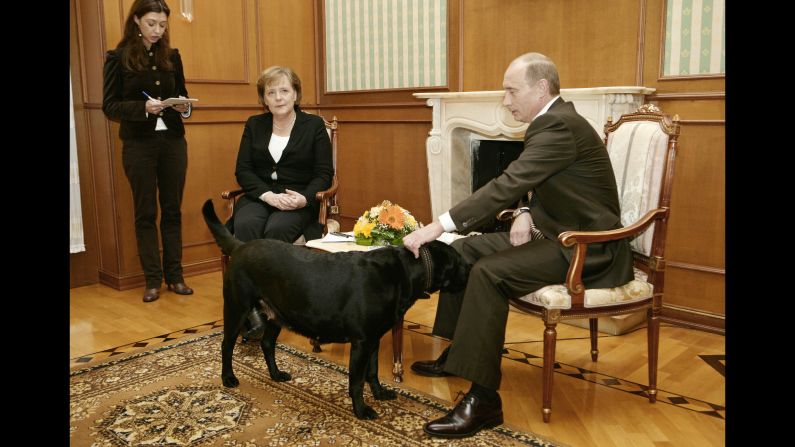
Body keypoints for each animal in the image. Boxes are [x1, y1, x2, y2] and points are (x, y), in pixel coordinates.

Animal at [202, 200, 470, 420]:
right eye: (459, 262)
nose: (470, 269)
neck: (403, 272)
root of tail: (240, 246)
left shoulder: (373, 339)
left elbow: (373, 372)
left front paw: (379, 394)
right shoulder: (361, 342)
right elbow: (357, 381)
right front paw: (361, 410)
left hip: (276, 314)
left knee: (267, 345)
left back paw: (276, 375)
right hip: (237, 308)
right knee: (226, 345)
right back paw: (228, 378)